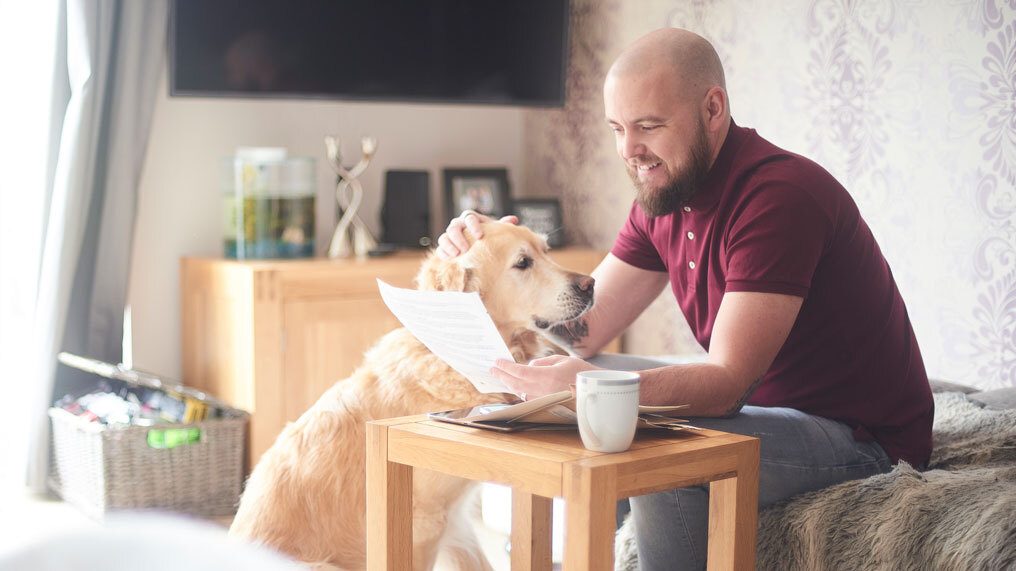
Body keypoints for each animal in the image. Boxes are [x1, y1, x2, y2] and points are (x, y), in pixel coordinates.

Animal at [230, 220, 593, 564]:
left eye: (547, 250)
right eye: (522, 262)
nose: (590, 285)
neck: (453, 359)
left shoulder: (456, 523)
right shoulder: (424, 523)